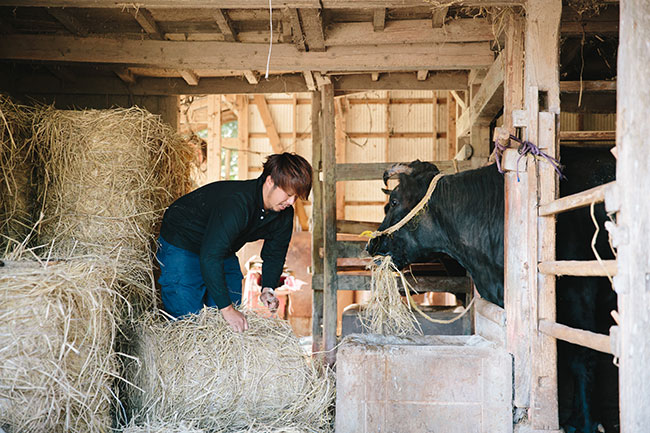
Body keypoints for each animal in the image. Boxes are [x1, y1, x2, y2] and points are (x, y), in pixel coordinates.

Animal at [368, 147, 616, 430]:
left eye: (394, 202)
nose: (371, 245)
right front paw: (575, 419)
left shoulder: (579, 291)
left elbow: (581, 355)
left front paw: (585, 422)